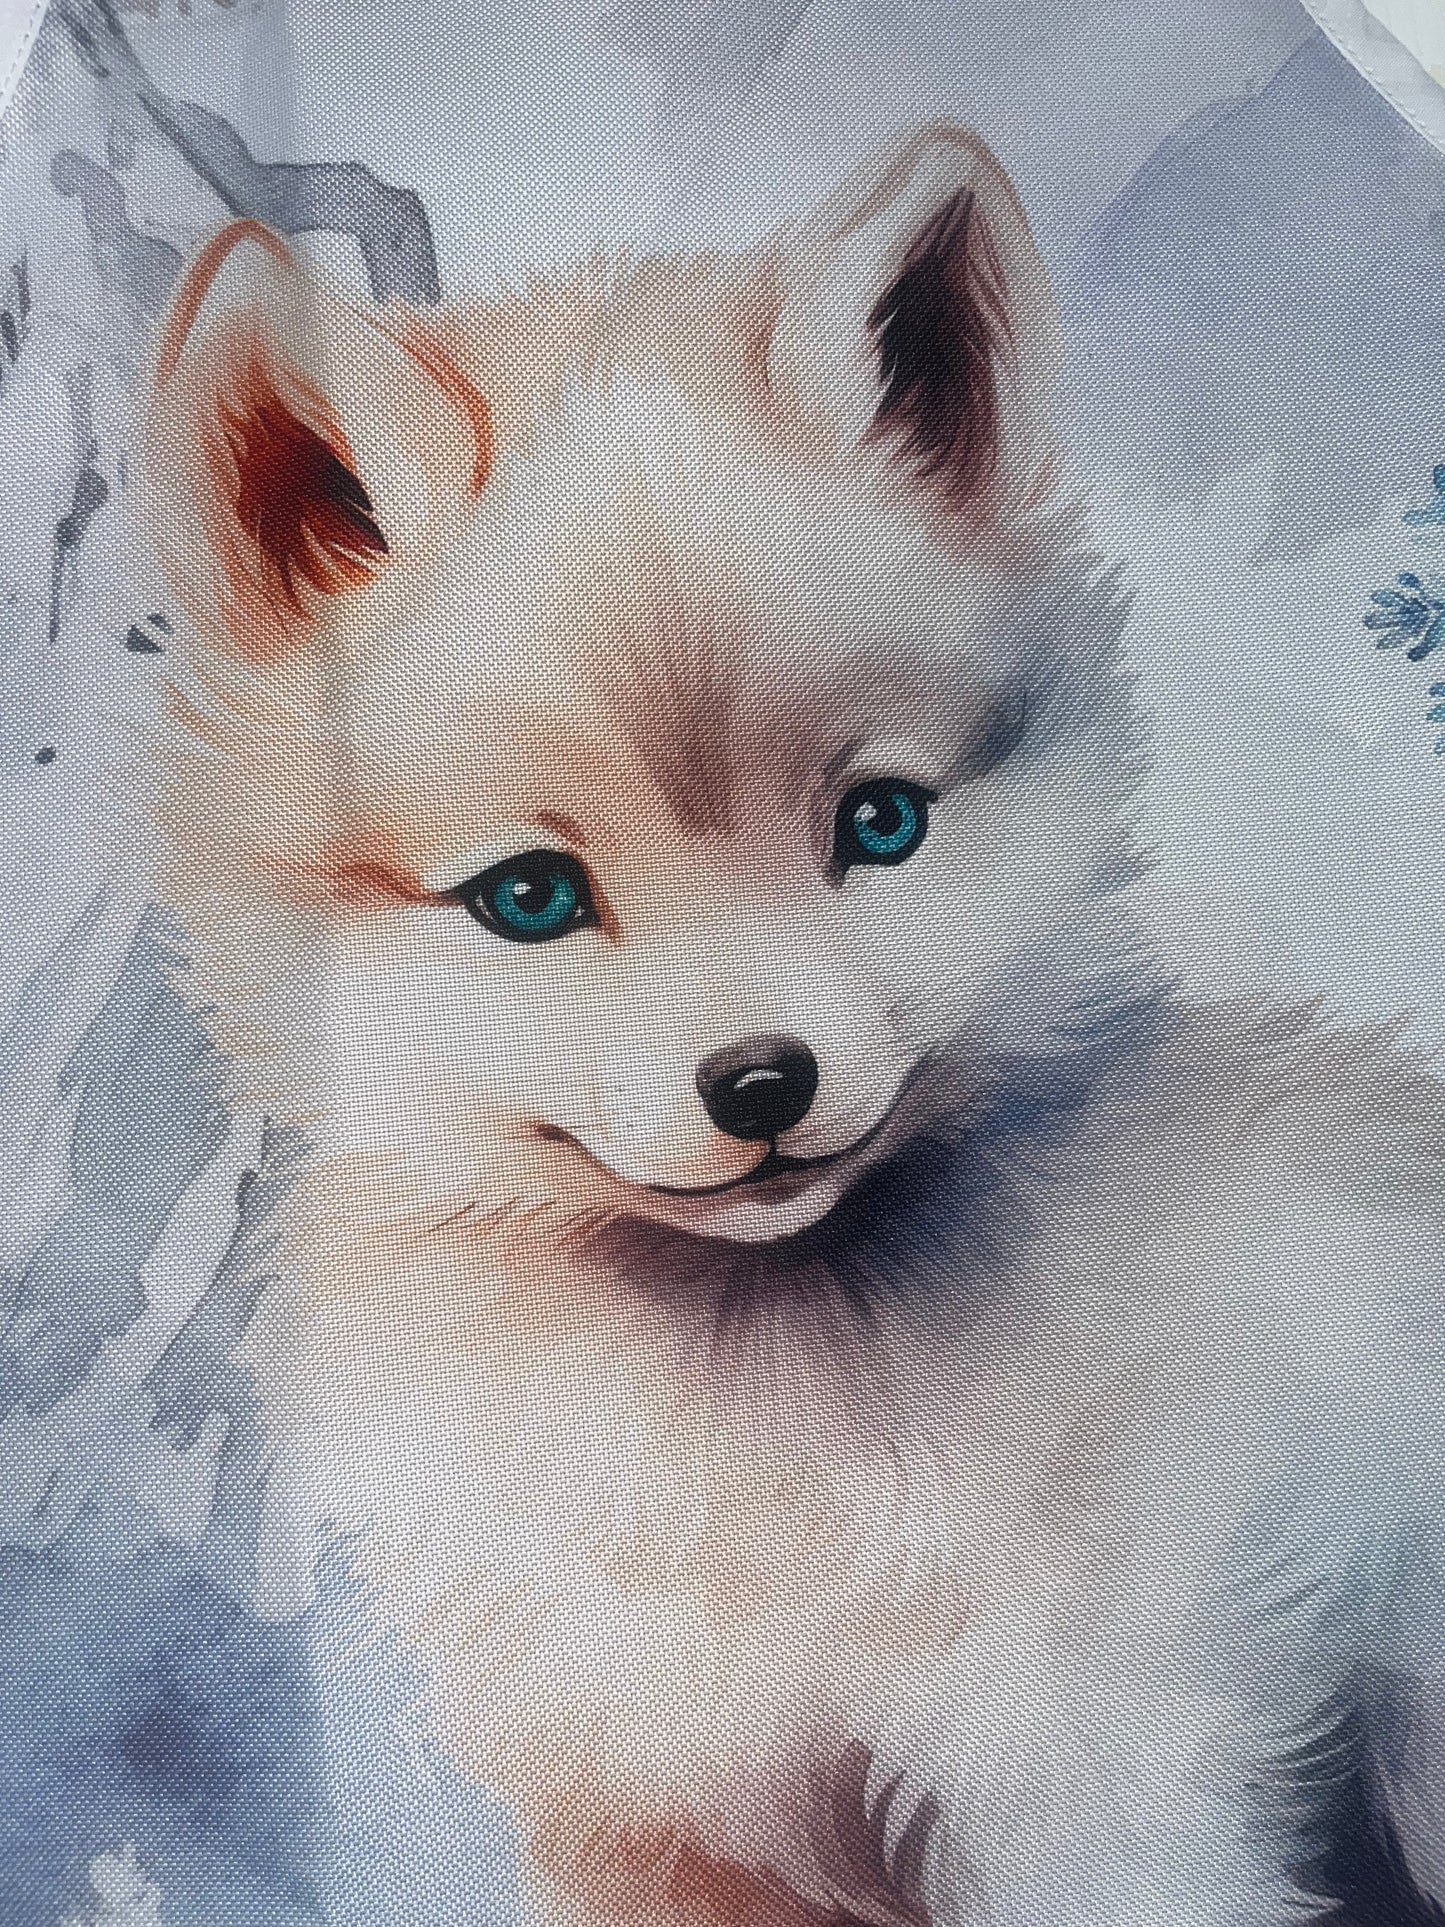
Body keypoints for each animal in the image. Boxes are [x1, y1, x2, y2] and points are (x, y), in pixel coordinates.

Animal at [138, 124, 1445, 1924]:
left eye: (879, 824)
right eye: (530, 897)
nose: (761, 1080)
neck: (741, 1464)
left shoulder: (1098, 1784)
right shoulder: (650, 1813)